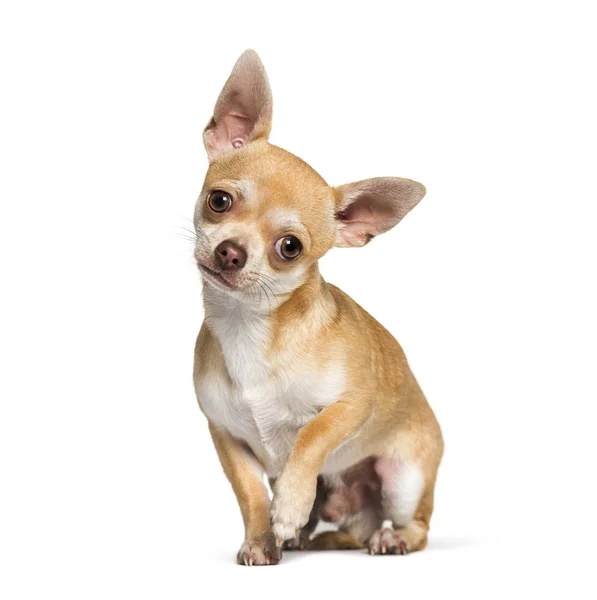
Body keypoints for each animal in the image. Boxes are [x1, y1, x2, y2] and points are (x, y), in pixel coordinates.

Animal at [193, 49, 440, 564]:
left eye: (290, 247)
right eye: (219, 200)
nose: (230, 252)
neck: (250, 327)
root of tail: (360, 524)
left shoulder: (353, 404)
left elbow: (311, 435)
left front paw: (288, 506)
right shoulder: (225, 436)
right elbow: (250, 494)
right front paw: (260, 540)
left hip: (404, 479)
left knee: (419, 524)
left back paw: (391, 538)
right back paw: (302, 537)